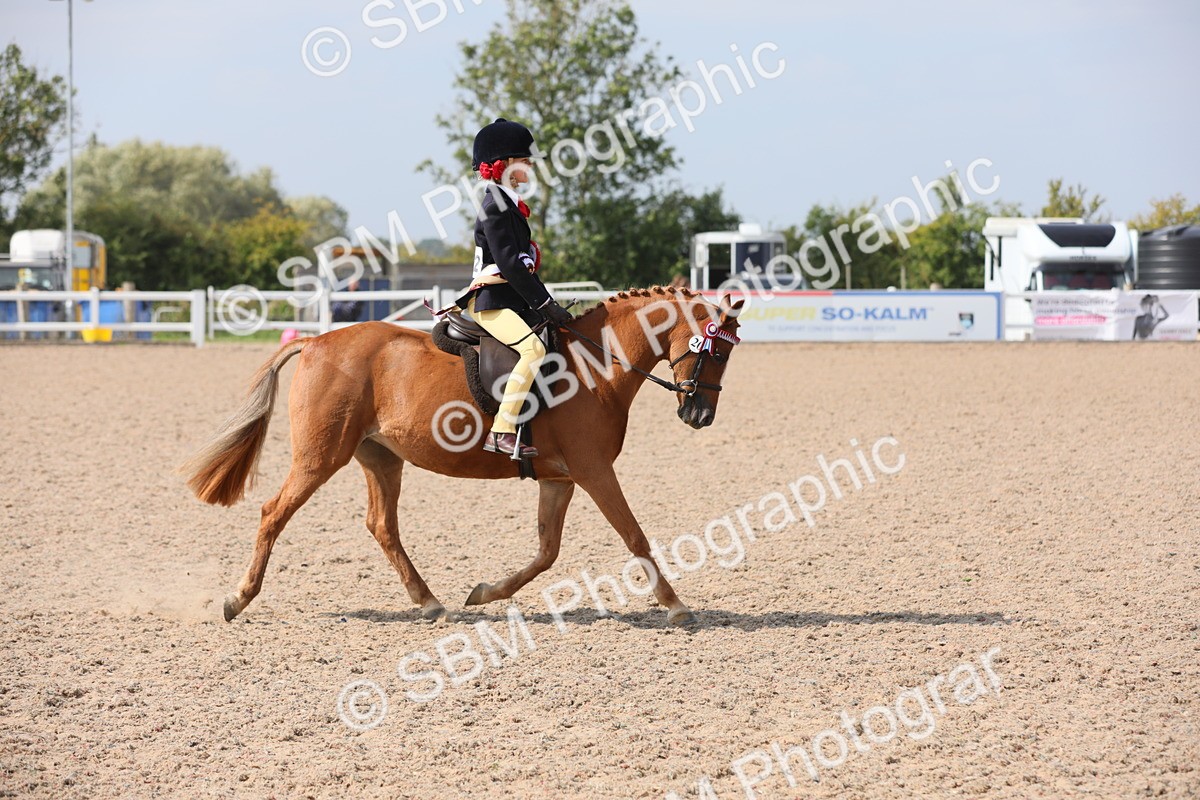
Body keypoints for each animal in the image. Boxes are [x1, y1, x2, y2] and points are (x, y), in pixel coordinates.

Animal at [181, 286, 744, 626]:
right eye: (715, 349)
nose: (700, 415)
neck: (593, 366)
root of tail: (317, 341)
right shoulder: (594, 472)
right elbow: (634, 535)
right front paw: (676, 606)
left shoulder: (560, 478)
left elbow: (547, 551)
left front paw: (485, 593)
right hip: (320, 458)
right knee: (273, 512)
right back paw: (237, 598)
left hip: (380, 458)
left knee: (381, 525)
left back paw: (430, 602)